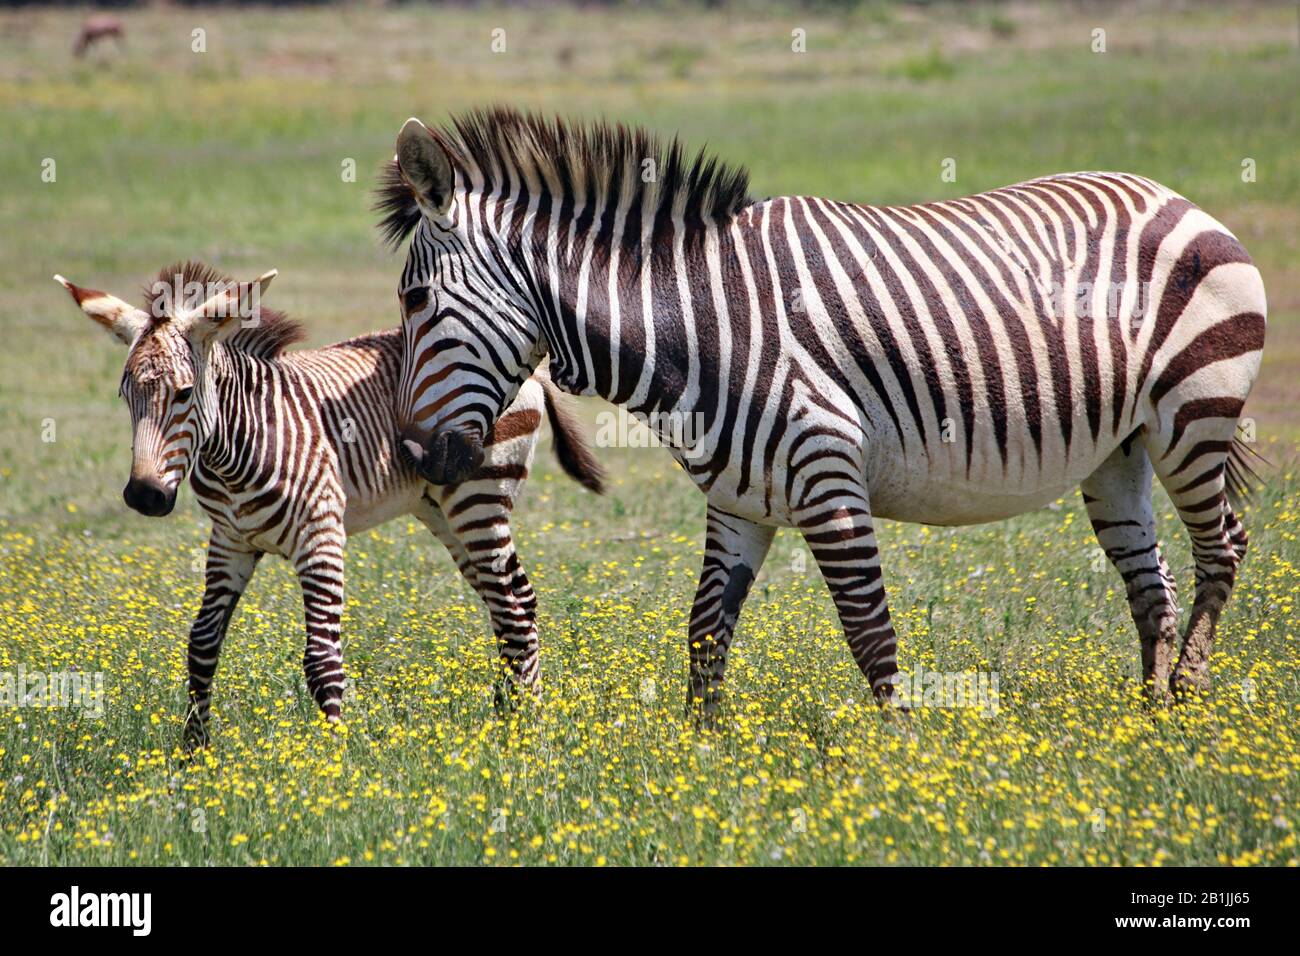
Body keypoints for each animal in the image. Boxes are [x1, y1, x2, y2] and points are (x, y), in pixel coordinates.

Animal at [55, 261, 603, 749]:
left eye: (186, 393)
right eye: (125, 394)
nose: (144, 496)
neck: (239, 445)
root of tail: (523, 365)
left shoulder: (320, 536)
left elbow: (321, 660)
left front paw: (333, 765)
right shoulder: (229, 540)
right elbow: (202, 644)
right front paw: (195, 753)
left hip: (480, 497)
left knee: (515, 606)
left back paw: (524, 733)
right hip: (442, 509)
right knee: (509, 604)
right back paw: (508, 719)